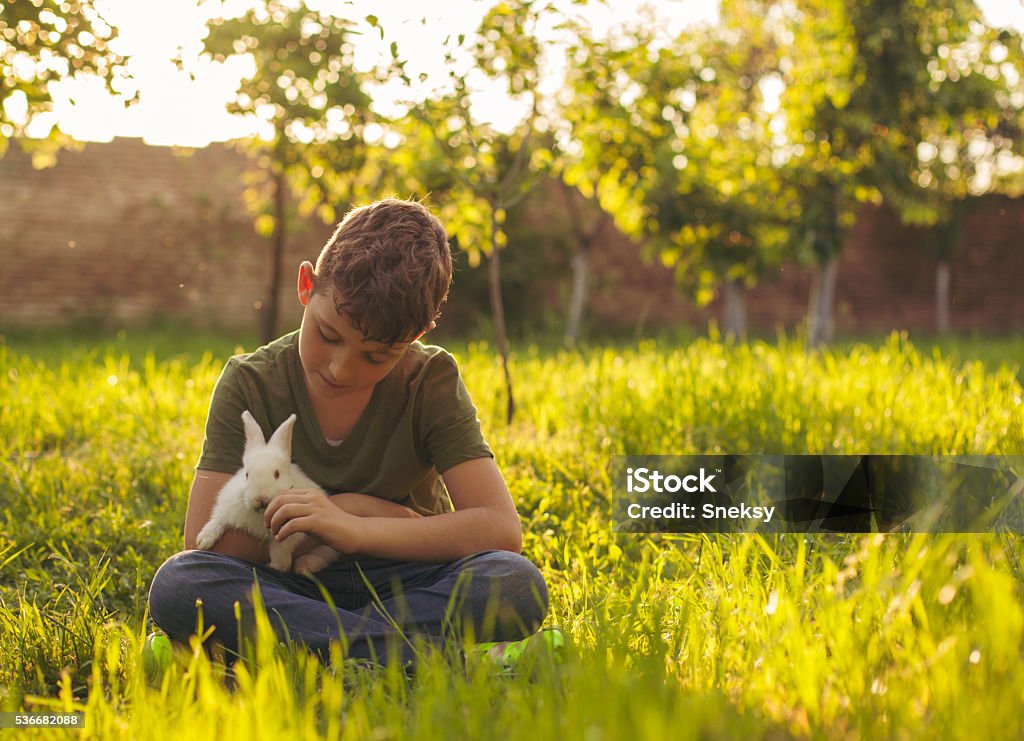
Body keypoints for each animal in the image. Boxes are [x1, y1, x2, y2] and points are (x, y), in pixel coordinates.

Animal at [197, 411, 342, 573]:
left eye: (277, 474)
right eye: (247, 474)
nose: (261, 498)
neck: (262, 514)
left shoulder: (289, 533)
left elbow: (280, 549)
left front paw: (276, 566)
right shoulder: (226, 509)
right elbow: (217, 521)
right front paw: (203, 541)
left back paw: (304, 566)